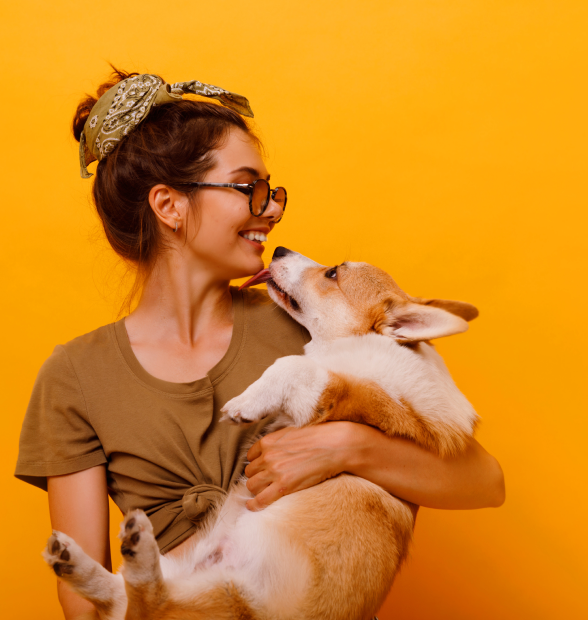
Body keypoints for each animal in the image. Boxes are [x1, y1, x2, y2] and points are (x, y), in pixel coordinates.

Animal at [44, 248, 478, 620]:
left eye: (333, 273)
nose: (280, 249)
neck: (368, 344)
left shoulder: (355, 401)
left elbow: (290, 365)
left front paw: (244, 404)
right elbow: (293, 366)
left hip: (233, 600)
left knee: (149, 602)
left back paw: (127, 550)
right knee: (124, 596)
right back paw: (75, 559)